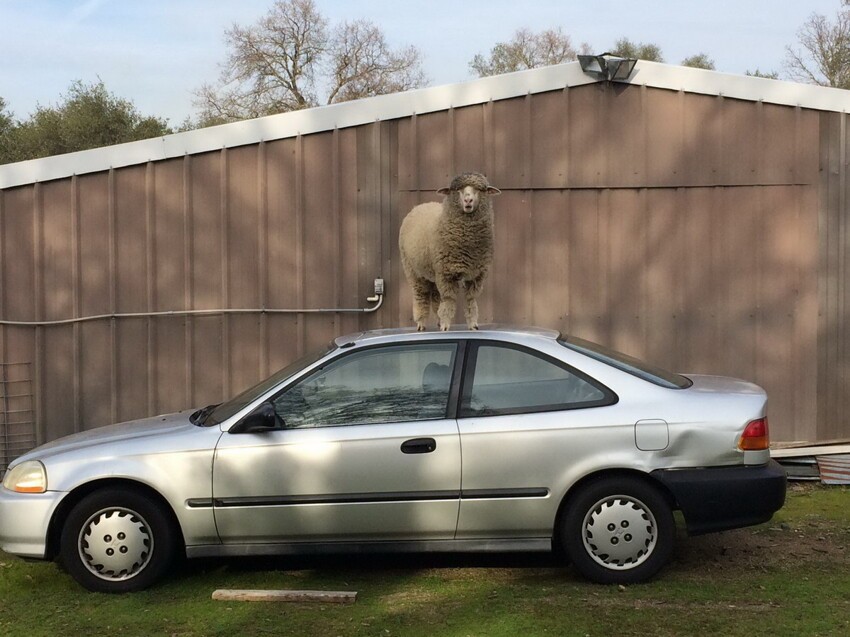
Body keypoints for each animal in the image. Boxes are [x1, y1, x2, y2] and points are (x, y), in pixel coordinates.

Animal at [400, 174, 500, 332]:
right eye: (457, 190)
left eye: (479, 190)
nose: (468, 200)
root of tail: (420, 205)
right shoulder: (446, 273)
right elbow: (449, 299)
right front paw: (446, 325)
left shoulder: (477, 274)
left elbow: (470, 299)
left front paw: (473, 325)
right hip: (413, 270)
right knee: (421, 295)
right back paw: (421, 323)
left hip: (433, 272)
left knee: (435, 297)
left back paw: (438, 320)